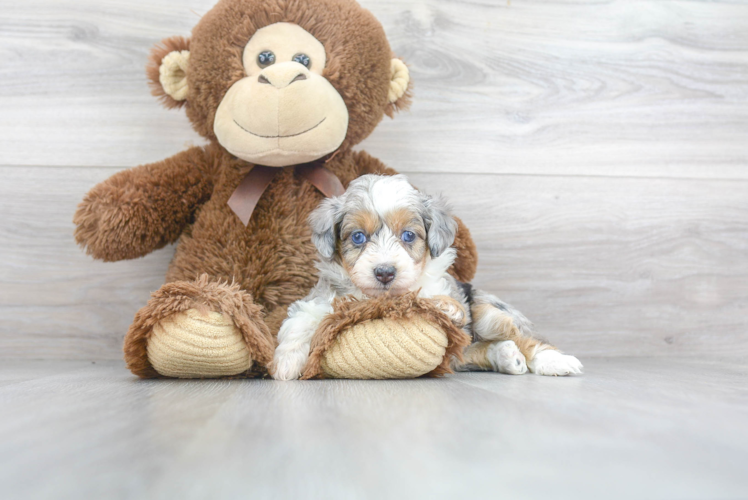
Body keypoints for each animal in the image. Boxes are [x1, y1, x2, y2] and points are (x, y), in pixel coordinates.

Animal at [272, 175, 580, 378]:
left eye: (409, 235)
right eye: (358, 237)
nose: (385, 272)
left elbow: (434, 299)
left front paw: (447, 307)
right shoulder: (321, 299)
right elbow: (302, 319)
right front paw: (286, 363)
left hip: (489, 310)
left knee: (525, 338)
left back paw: (555, 361)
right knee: (472, 352)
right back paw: (506, 356)